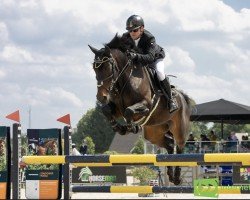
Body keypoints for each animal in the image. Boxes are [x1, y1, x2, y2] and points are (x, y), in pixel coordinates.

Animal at [88, 34, 191, 184]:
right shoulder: (116, 108)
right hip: (154, 132)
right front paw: (119, 128)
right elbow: (106, 110)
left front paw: (132, 127)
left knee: (180, 147)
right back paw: (171, 175)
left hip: (179, 128)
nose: (101, 97)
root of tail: (183, 97)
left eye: (107, 67)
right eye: (95, 68)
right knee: (170, 144)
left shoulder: (145, 106)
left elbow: (129, 111)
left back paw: (177, 178)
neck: (126, 80)